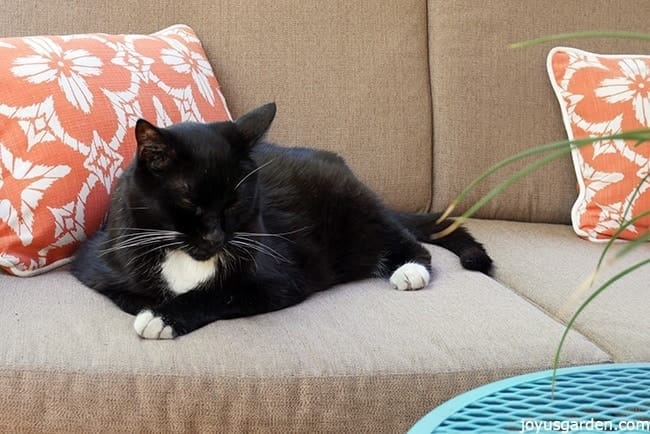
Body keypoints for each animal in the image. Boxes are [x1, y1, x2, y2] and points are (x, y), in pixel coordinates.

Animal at [71, 103, 488, 340]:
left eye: (235, 201)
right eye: (189, 201)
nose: (216, 237)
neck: (186, 257)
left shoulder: (279, 276)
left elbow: (222, 293)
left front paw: (163, 317)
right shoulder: (97, 263)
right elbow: (130, 294)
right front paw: (154, 307)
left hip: (358, 213)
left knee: (404, 240)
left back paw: (409, 270)